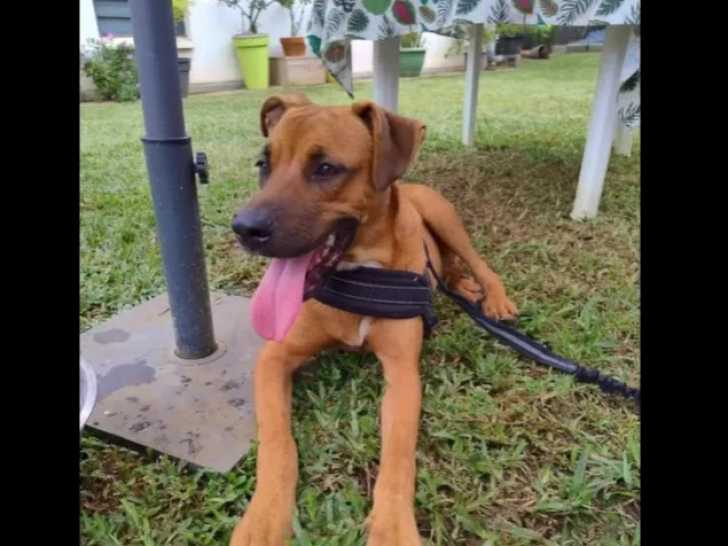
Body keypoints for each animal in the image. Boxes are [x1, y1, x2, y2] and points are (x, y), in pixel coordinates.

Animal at [230, 94, 518, 546]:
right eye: (263, 164)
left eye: (325, 168)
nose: (244, 229)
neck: (358, 272)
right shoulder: (273, 359)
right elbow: (277, 441)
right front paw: (264, 518)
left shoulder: (403, 373)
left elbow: (398, 454)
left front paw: (393, 526)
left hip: (445, 218)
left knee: (476, 260)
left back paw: (493, 297)